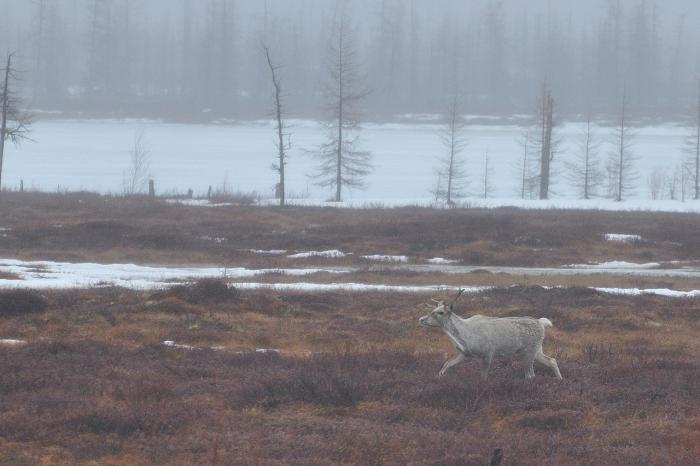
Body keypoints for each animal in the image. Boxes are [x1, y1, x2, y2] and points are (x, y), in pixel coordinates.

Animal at [419, 289, 562, 380]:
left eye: (441, 312)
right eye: (432, 309)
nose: (421, 319)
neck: (463, 335)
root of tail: (541, 323)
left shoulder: (488, 354)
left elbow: (484, 377)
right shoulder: (464, 354)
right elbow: (446, 364)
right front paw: (438, 377)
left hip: (529, 351)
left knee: (531, 375)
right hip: (537, 350)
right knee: (552, 361)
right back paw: (560, 379)